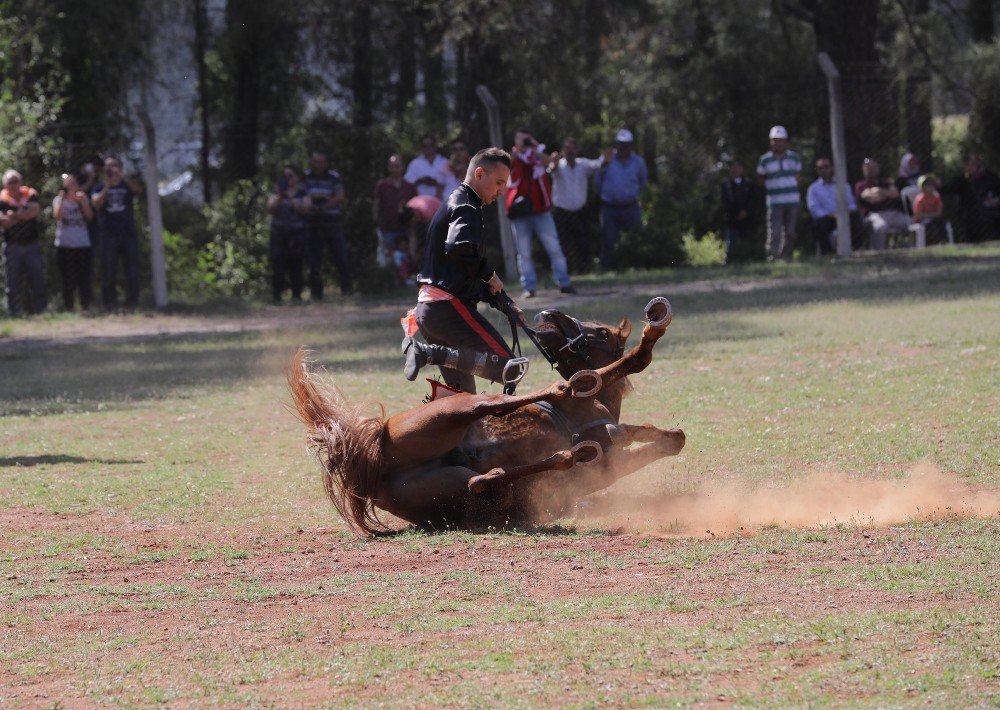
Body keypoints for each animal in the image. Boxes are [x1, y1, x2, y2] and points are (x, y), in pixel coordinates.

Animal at [286, 296, 684, 536]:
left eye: (600, 331)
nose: (548, 315)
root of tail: (373, 466)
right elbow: (624, 367)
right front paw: (651, 333)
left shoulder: (609, 466)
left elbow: (668, 441)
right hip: (454, 411)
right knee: (499, 405)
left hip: (454, 488)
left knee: (482, 482)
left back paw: (562, 456)